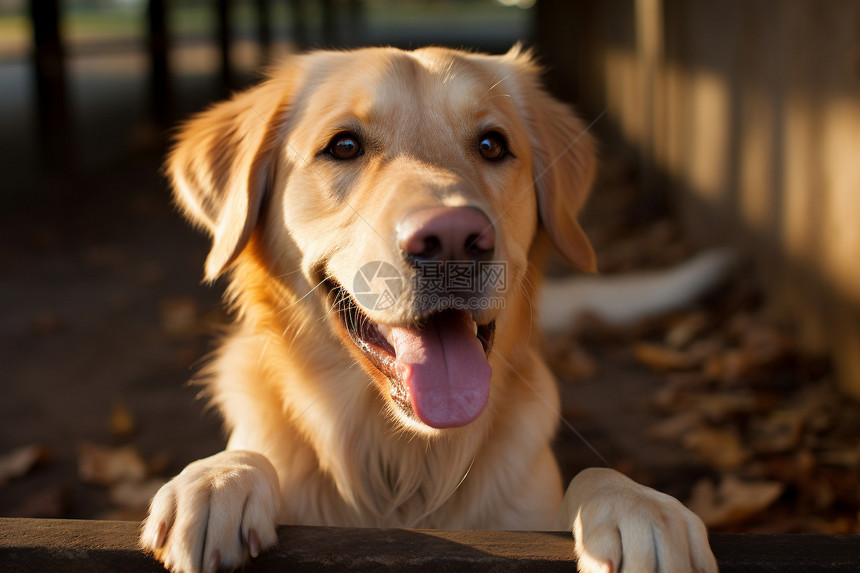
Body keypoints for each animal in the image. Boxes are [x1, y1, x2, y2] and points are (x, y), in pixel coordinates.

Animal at [141, 45, 720, 572]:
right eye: (344, 145)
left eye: (491, 145)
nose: (453, 240)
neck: (403, 463)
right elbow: (250, 453)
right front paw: (218, 480)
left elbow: (593, 476)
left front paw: (636, 505)